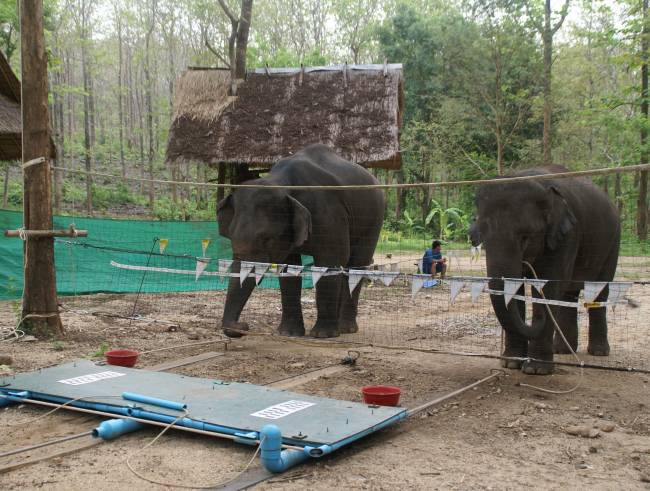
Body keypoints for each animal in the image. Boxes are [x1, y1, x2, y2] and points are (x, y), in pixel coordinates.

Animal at [216, 144, 385, 339]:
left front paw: (322, 335)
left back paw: (345, 329)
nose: (242, 326)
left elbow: (331, 260)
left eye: (267, 239)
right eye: (231, 235)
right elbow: (289, 268)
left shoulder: (329, 214)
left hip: (374, 218)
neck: (281, 182)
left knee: (357, 263)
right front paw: (289, 333)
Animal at [474, 166, 620, 375]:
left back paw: (598, 352)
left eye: (526, 237)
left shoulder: (566, 236)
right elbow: (517, 290)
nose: (536, 319)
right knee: (569, 294)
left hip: (612, 243)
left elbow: (549, 286)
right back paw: (562, 350)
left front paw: (536, 370)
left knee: (599, 290)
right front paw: (510, 364)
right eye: (482, 237)